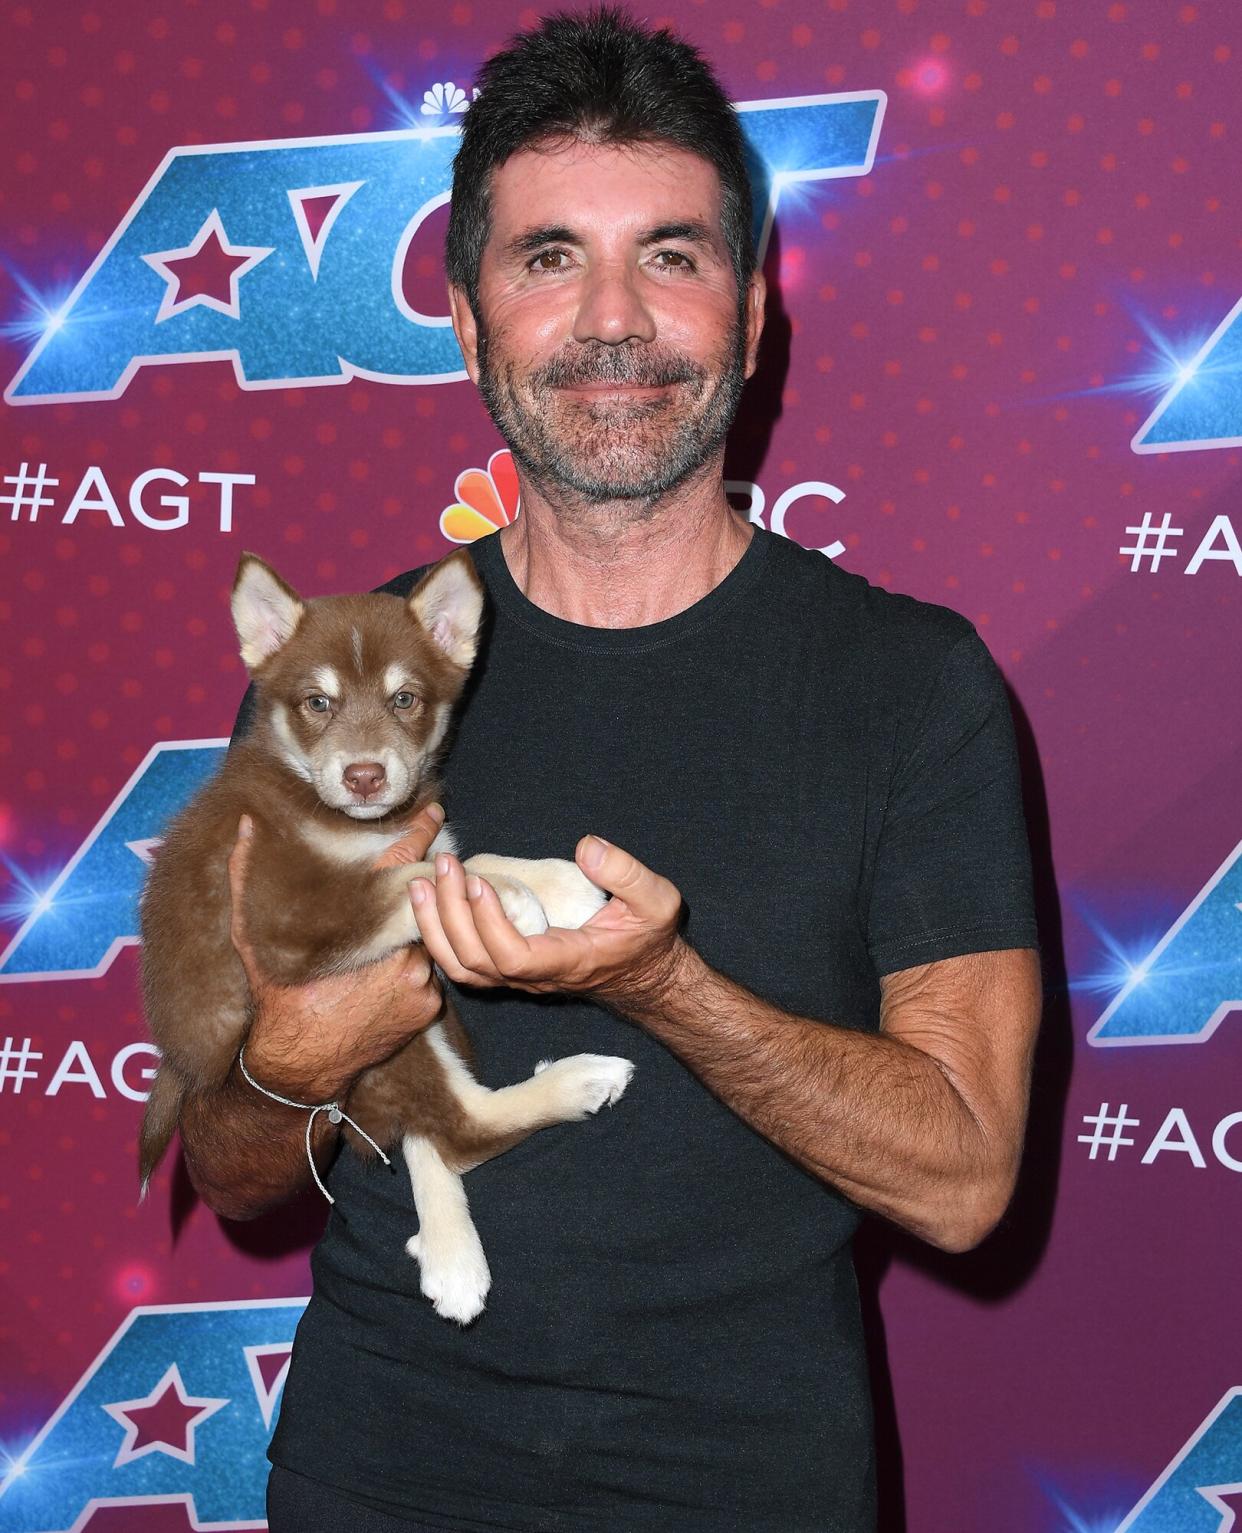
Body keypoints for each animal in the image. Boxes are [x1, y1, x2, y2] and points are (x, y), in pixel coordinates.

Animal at [140, 548, 634, 1318]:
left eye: (405, 699)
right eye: (318, 703)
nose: (366, 776)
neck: (338, 816)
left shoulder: (410, 837)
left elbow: (453, 859)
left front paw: (556, 884)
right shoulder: (283, 912)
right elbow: (410, 878)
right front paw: (519, 901)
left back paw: (451, 1246)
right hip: (390, 1035)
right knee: (457, 1129)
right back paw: (582, 1079)